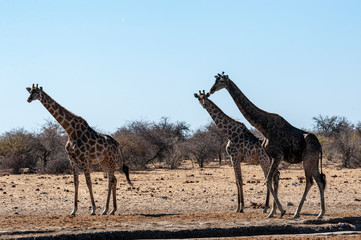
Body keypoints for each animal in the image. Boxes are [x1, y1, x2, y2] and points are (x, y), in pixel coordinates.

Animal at [26, 84, 131, 216]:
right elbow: (76, 182)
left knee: (111, 181)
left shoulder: (83, 159)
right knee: (114, 180)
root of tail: (117, 145)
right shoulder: (72, 159)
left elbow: (88, 182)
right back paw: (112, 209)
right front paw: (73, 210)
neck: (70, 130)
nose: (28, 99)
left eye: (36, 93)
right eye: (30, 91)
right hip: (104, 162)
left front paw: (93, 209)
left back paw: (106, 209)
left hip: (111, 160)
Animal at [207, 73, 324, 219]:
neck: (264, 127)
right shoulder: (272, 156)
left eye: (221, 81)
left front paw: (280, 210)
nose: (210, 90)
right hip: (313, 161)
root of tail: (320, 145)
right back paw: (320, 213)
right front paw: (273, 211)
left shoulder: (278, 156)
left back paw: (297, 213)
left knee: (309, 182)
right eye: (215, 80)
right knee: (319, 181)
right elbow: (272, 179)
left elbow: (268, 180)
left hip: (307, 159)